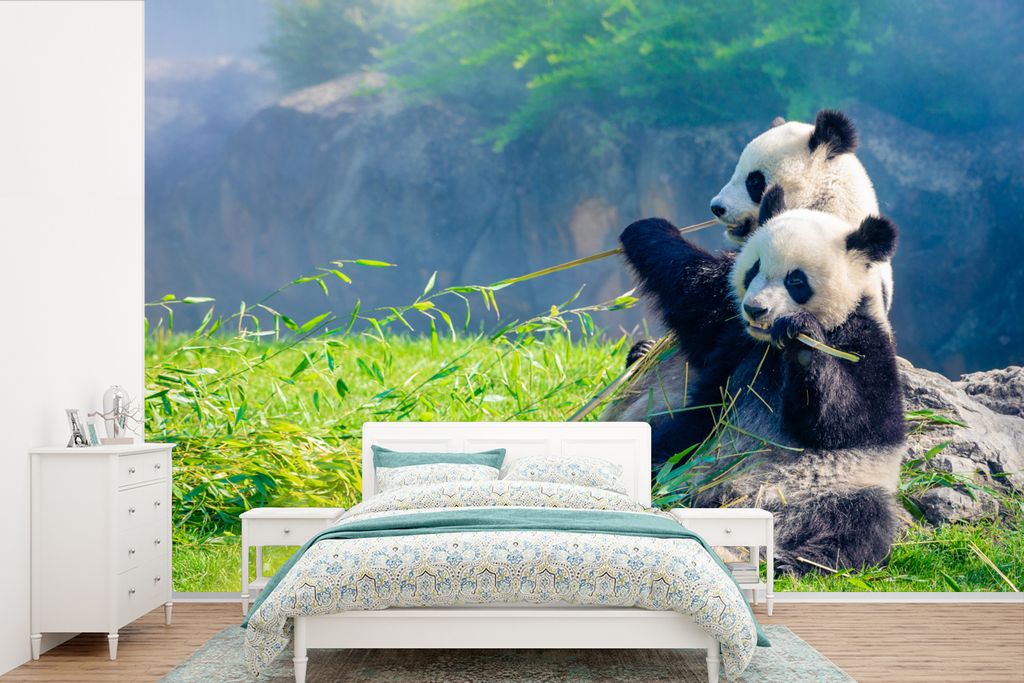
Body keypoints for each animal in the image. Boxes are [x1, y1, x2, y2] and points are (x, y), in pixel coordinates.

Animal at [617, 190, 905, 575]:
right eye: (754, 268)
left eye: (796, 281)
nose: (755, 310)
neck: (771, 347)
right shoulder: (734, 336)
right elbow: (695, 293)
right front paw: (649, 228)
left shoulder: (864, 342)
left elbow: (852, 421)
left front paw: (803, 343)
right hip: (695, 445)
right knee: (663, 451)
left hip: (840, 487)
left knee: (860, 524)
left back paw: (795, 560)